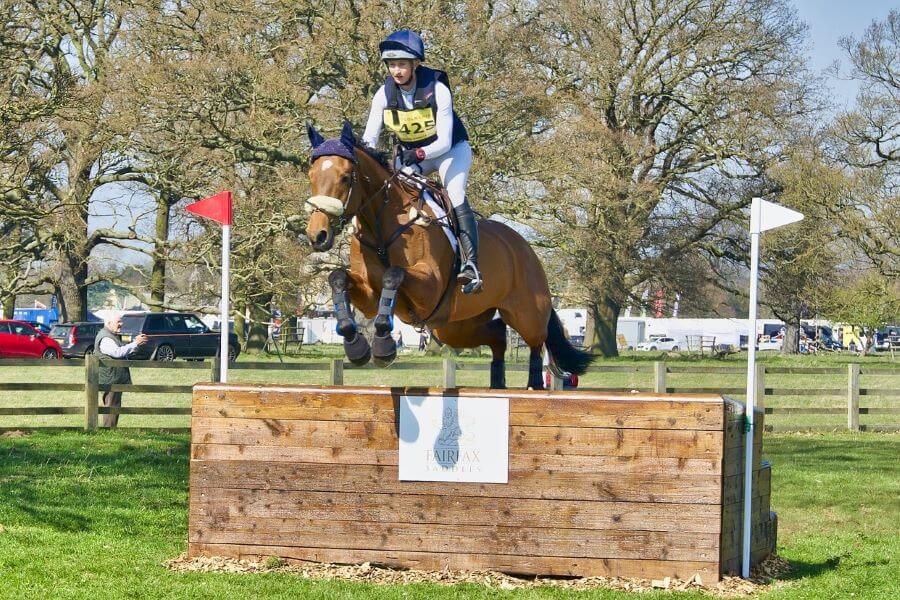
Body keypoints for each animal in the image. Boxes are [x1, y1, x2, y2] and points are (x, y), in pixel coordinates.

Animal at [306, 124, 596, 392]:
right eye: (311, 176)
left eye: (345, 177)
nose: (317, 234)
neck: (382, 226)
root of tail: (524, 246)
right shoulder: (369, 295)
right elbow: (338, 277)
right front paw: (355, 345)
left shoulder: (429, 285)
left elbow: (394, 274)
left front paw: (383, 346)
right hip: (454, 326)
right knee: (498, 336)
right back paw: (498, 382)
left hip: (526, 313)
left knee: (536, 342)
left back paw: (533, 385)